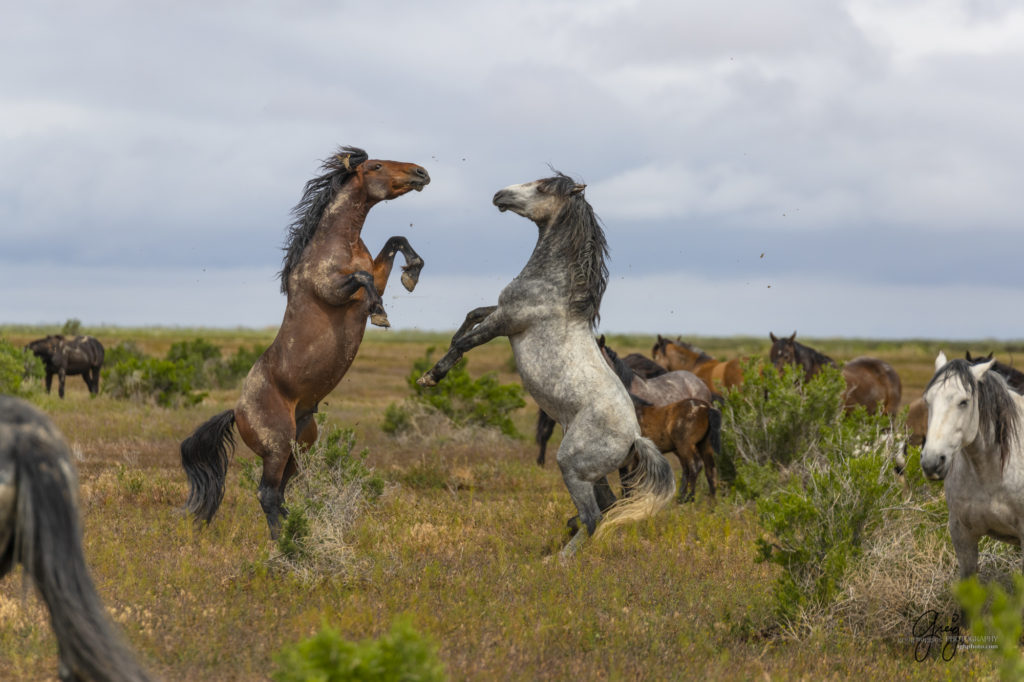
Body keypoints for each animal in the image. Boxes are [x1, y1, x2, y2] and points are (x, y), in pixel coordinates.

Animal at [180, 144, 428, 536]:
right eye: (376, 166)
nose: (420, 172)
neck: (336, 244)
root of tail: (237, 411)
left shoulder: (374, 273)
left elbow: (394, 242)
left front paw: (411, 275)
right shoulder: (334, 290)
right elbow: (362, 278)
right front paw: (381, 312)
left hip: (301, 446)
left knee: (280, 493)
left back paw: (297, 533)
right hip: (278, 446)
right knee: (266, 494)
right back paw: (284, 544)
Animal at [415, 173, 671, 557]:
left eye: (542, 188)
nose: (499, 195)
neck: (557, 288)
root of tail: (635, 438)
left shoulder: (507, 321)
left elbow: (465, 341)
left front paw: (431, 376)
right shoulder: (501, 311)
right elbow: (472, 315)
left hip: (572, 467)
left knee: (595, 517)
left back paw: (558, 559)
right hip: (593, 474)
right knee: (608, 506)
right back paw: (566, 534)